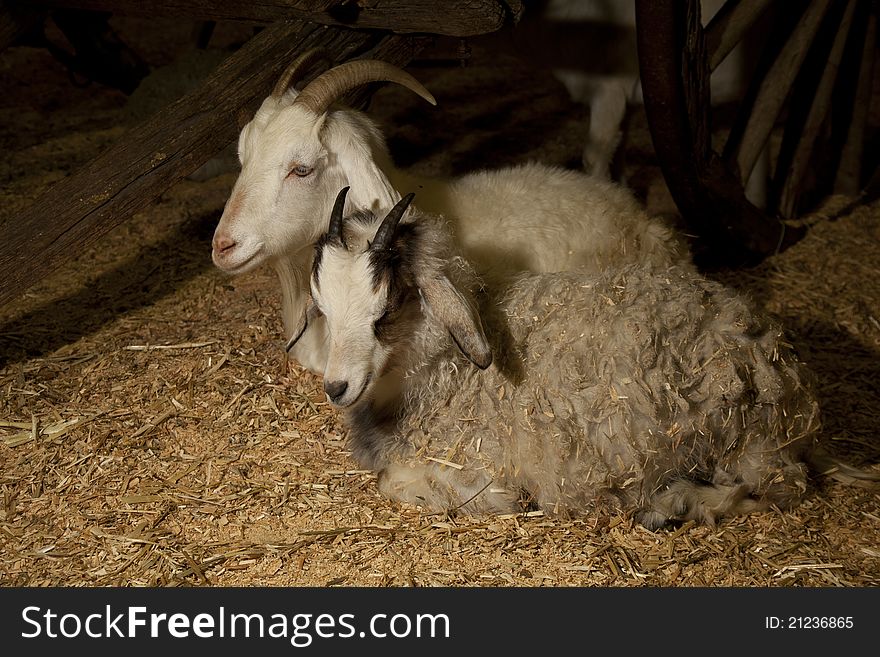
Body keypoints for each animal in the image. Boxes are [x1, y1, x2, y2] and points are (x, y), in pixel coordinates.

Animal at [290, 187, 880, 532]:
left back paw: (673, 506)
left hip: (747, 440)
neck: (447, 376)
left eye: (387, 308)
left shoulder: (472, 459)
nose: (336, 388)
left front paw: (501, 500)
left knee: (782, 488)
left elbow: (394, 483)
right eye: (322, 305)